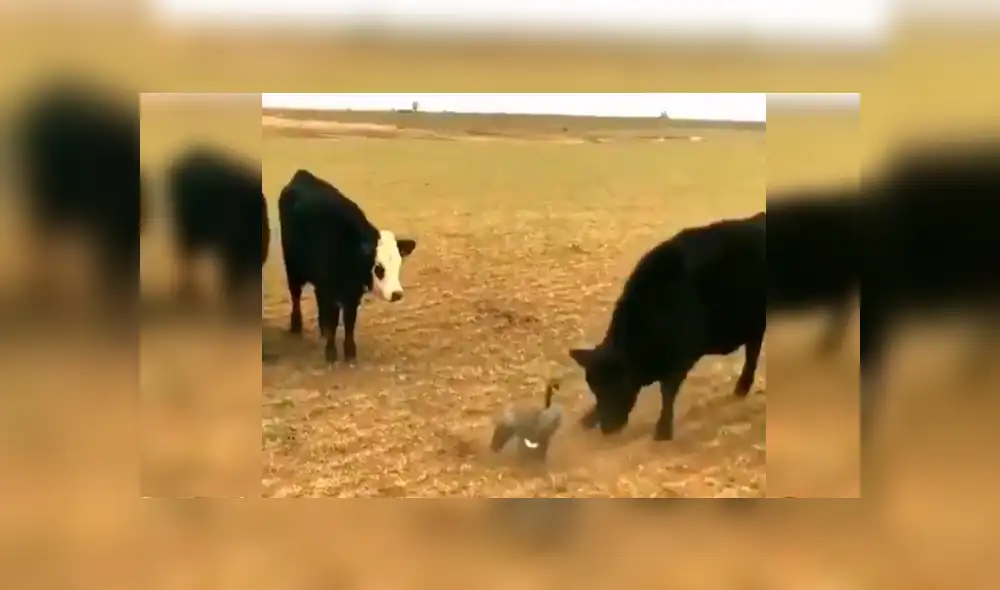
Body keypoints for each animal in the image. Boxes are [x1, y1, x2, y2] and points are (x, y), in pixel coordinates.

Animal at [278, 169, 417, 364]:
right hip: (293, 267)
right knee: (296, 295)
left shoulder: (351, 293)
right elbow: (333, 320)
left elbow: (349, 321)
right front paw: (331, 353)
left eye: (398, 263)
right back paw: (296, 325)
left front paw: (350, 352)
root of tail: (302, 175)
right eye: (378, 267)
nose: (396, 294)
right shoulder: (329, 290)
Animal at [569, 213, 765, 441]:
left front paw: (663, 430)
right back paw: (742, 387)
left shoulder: (680, 358)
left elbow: (668, 393)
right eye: (595, 389)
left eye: (619, 384)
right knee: (753, 349)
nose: (608, 428)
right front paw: (589, 418)